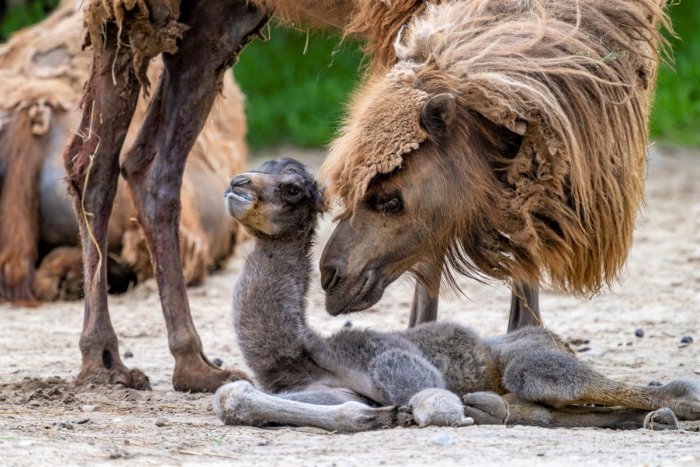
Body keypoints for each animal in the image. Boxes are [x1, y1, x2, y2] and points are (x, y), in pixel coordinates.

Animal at [213, 159, 700, 434]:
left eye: (292, 188)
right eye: (263, 167)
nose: (237, 183)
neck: (304, 352)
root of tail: (555, 339)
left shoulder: (389, 359)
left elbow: (435, 404)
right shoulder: (320, 391)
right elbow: (230, 398)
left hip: (532, 362)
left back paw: (676, 408)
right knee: (568, 412)